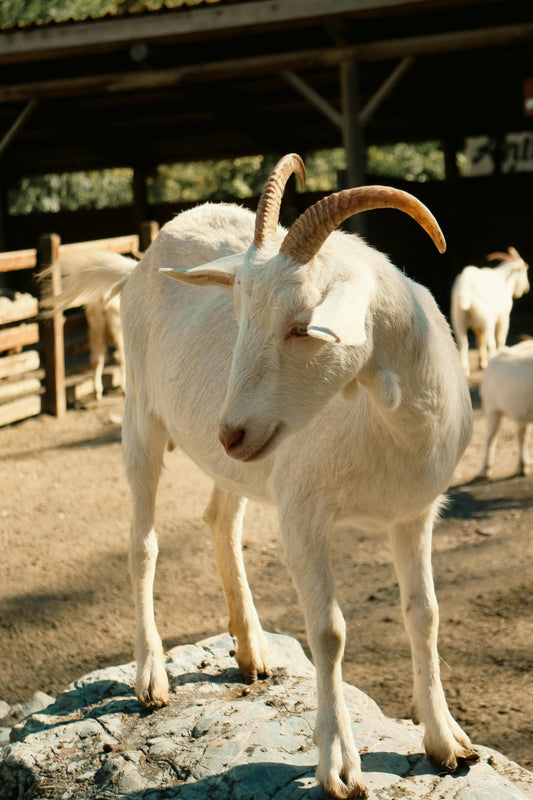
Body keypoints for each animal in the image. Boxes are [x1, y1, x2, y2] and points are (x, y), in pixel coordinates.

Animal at [40, 251, 137, 399]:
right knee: (121, 358)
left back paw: (98, 391)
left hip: (96, 330)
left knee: (96, 359)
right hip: (117, 331)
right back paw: (122, 389)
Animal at [55, 155, 477, 798]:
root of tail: (141, 261)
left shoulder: (414, 513)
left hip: (240, 464)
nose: (230, 431)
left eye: (303, 327)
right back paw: (151, 676)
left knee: (219, 521)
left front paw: (446, 741)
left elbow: (424, 615)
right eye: (237, 315)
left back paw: (252, 650)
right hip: (142, 418)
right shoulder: (302, 512)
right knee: (143, 543)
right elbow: (329, 632)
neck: (384, 421)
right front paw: (339, 764)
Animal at [451, 246, 529, 375]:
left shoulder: (477, 325)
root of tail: (465, 288)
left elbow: (479, 341)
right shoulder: (504, 317)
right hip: (486, 319)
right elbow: (500, 337)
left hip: (458, 318)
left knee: (463, 342)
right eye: (523, 272)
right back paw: (491, 360)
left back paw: (465, 369)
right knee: (490, 340)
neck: (505, 279)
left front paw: (481, 362)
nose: (527, 287)